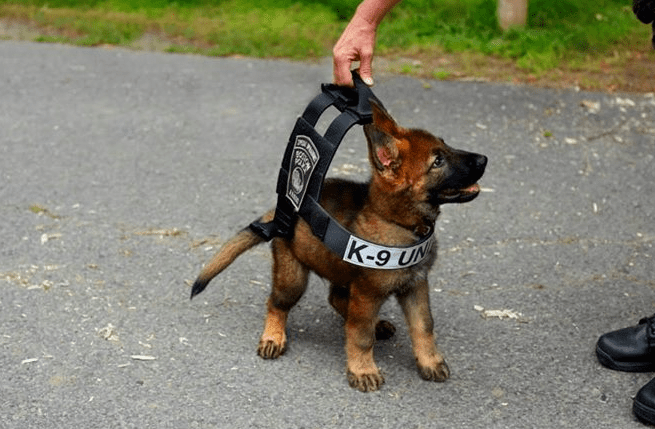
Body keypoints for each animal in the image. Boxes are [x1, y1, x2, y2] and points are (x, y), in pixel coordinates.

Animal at [190, 101, 486, 392]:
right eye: (438, 161)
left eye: (445, 146)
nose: (484, 159)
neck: (399, 223)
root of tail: (281, 211)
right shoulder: (367, 294)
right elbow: (360, 335)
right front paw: (363, 369)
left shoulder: (415, 285)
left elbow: (424, 326)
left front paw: (430, 361)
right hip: (293, 277)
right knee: (277, 303)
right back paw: (273, 336)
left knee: (337, 299)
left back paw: (376, 324)